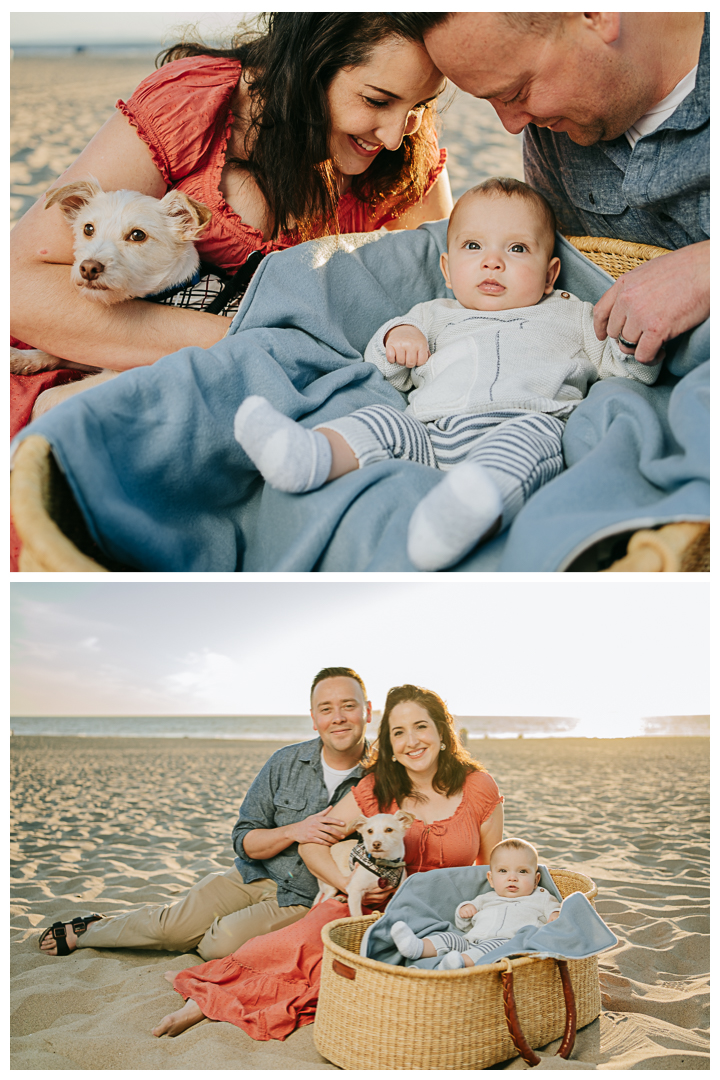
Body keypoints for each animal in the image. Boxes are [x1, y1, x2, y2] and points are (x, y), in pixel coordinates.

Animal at [10, 177, 211, 393]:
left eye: (138, 235)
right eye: (88, 229)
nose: (88, 268)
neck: (173, 289)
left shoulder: (118, 374)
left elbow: (53, 394)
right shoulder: (102, 354)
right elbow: (59, 351)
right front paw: (21, 358)